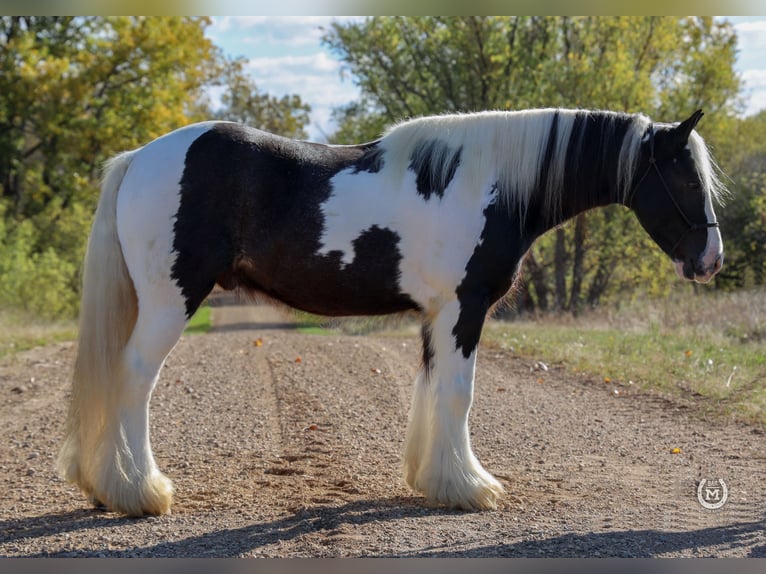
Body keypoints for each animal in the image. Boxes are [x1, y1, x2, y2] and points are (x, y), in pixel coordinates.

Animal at [58, 107, 728, 516]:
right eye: (684, 177)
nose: (711, 260)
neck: (486, 181)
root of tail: (139, 158)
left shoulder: (437, 315)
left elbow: (431, 389)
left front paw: (437, 481)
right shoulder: (464, 308)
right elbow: (459, 393)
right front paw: (472, 488)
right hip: (171, 302)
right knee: (133, 380)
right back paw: (139, 492)